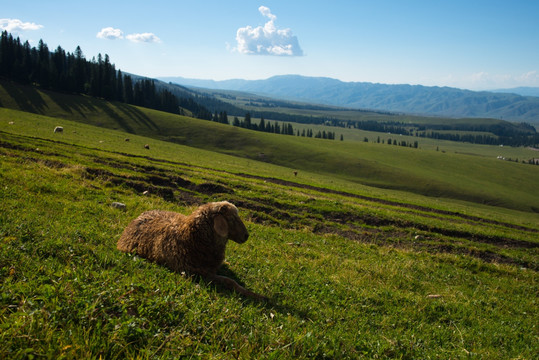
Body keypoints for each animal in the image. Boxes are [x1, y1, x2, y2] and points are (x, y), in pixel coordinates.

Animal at [117, 201, 266, 300]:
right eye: (232, 218)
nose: (246, 236)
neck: (191, 238)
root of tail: (140, 216)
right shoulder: (197, 273)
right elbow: (230, 281)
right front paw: (257, 296)